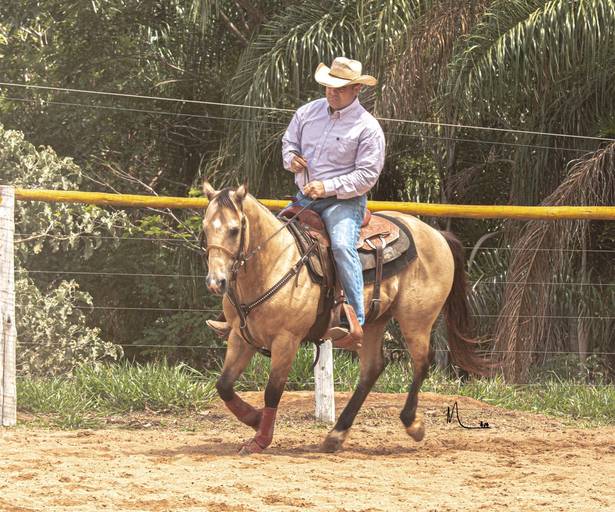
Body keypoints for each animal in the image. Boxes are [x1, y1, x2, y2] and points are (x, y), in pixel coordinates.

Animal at [201, 182, 490, 455]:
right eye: (205, 228)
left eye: (234, 229)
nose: (216, 282)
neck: (273, 263)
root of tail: (436, 235)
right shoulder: (241, 337)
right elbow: (224, 385)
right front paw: (255, 418)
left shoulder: (286, 340)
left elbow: (272, 390)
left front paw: (261, 439)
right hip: (374, 322)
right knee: (372, 368)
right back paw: (336, 434)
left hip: (416, 319)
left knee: (421, 361)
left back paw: (412, 424)